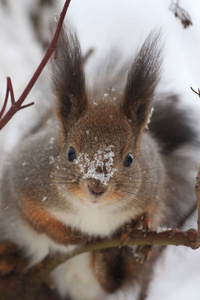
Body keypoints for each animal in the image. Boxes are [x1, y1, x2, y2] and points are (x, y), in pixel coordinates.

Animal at [0, 26, 199, 300]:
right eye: (70, 153)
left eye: (129, 159)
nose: (97, 187)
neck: (93, 213)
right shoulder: (25, 177)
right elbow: (30, 212)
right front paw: (66, 234)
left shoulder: (153, 180)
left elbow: (154, 207)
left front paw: (143, 226)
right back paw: (9, 258)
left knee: (112, 280)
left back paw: (110, 255)